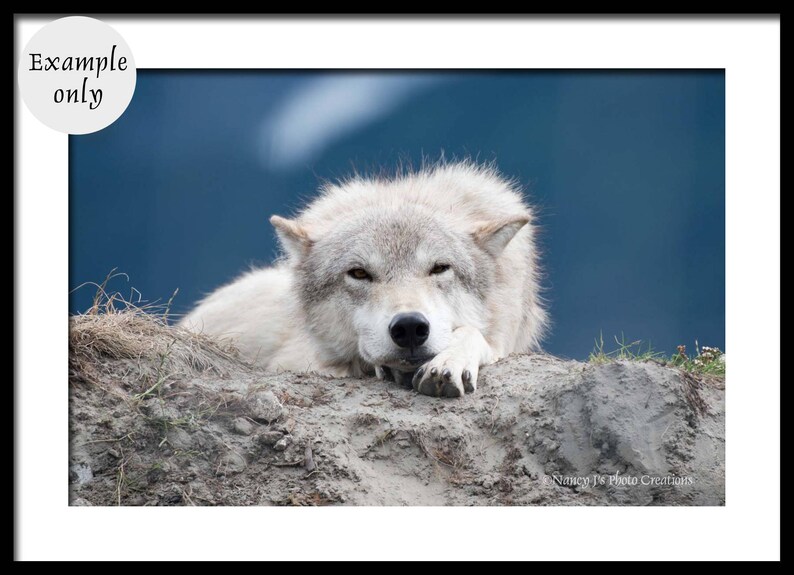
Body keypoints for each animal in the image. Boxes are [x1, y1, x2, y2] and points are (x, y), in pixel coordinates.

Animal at [180, 161, 547, 397]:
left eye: (439, 268)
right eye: (359, 273)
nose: (409, 327)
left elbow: (472, 334)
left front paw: (448, 363)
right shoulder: (296, 359)